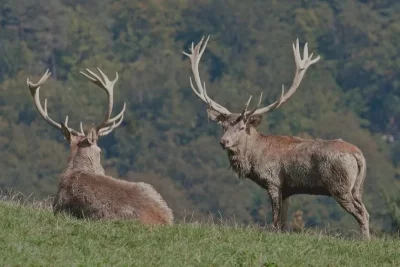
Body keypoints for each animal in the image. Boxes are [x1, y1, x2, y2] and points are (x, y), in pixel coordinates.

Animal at [183, 36, 370, 240]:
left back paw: (366, 241)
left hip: (339, 186)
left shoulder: (273, 181)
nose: (224, 141)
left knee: (361, 213)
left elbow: (275, 221)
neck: (254, 159)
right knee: (365, 210)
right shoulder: (288, 189)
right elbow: (284, 222)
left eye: (242, 127)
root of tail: (359, 156)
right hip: (357, 188)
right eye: (223, 127)